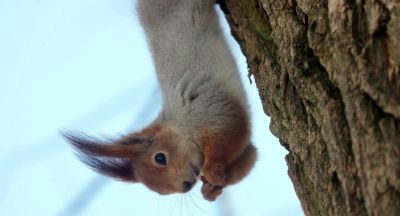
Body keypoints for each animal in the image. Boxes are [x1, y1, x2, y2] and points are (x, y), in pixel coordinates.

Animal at [62, 0, 256, 201]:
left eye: (160, 158)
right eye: (161, 192)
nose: (186, 185)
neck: (180, 126)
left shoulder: (211, 111)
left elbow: (228, 136)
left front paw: (211, 170)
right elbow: (248, 157)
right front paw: (211, 188)